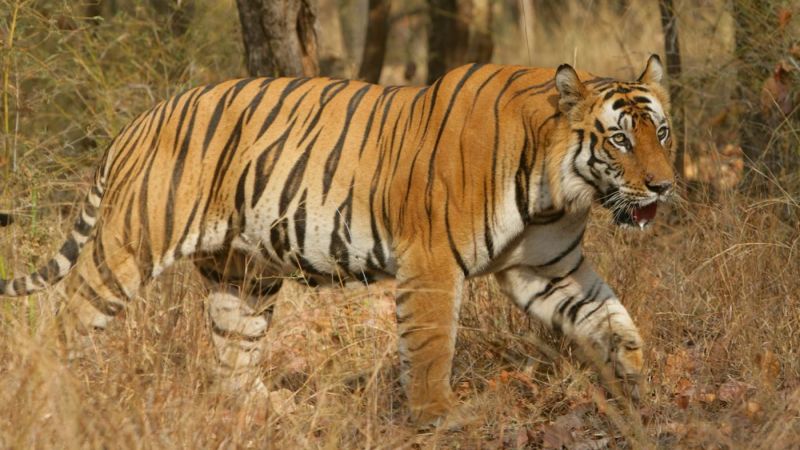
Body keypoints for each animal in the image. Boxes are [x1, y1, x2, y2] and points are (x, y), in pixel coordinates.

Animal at [0, 54, 674, 425]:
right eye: (620, 139)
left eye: (661, 131)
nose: (664, 186)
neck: (556, 187)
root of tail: (140, 120)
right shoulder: (432, 265)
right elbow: (431, 348)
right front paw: (441, 419)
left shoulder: (549, 269)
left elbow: (614, 321)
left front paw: (640, 394)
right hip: (128, 248)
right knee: (64, 326)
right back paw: (44, 399)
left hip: (243, 276)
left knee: (231, 361)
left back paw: (279, 411)